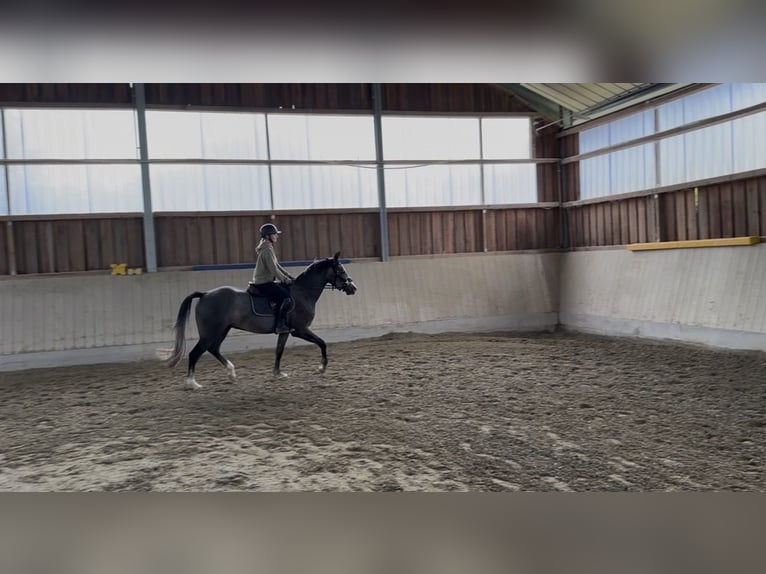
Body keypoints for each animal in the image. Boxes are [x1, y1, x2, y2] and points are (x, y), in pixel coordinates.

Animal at [162, 252, 357, 389]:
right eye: (341, 270)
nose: (353, 288)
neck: (303, 293)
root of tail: (205, 294)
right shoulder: (300, 330)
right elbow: (322, 342)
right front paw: (322, 367)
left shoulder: (285, 332)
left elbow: (279, 351)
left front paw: (278, 373)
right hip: (210, 332)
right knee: (195, 353)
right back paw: (192, 383)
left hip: (222, 329)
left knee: (213, 348)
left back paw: (231, 373)